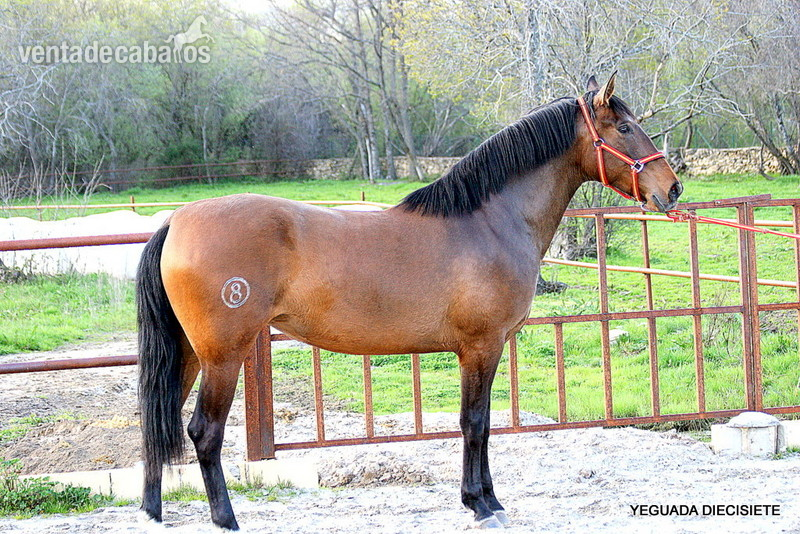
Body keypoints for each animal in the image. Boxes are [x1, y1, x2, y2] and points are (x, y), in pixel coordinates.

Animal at [136, 73, 682, 530]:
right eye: (626, 128)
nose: (673, 189)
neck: (489, 221)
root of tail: (177, 220)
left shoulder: (486, 350)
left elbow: (482, 424)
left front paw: (488, 499)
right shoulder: (481, 347)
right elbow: (474, 423)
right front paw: (481, 505)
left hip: (189, 353)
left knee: (158, 419)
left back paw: (152, 510)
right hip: (224, 355)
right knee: (204, 431)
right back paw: (226, 518)